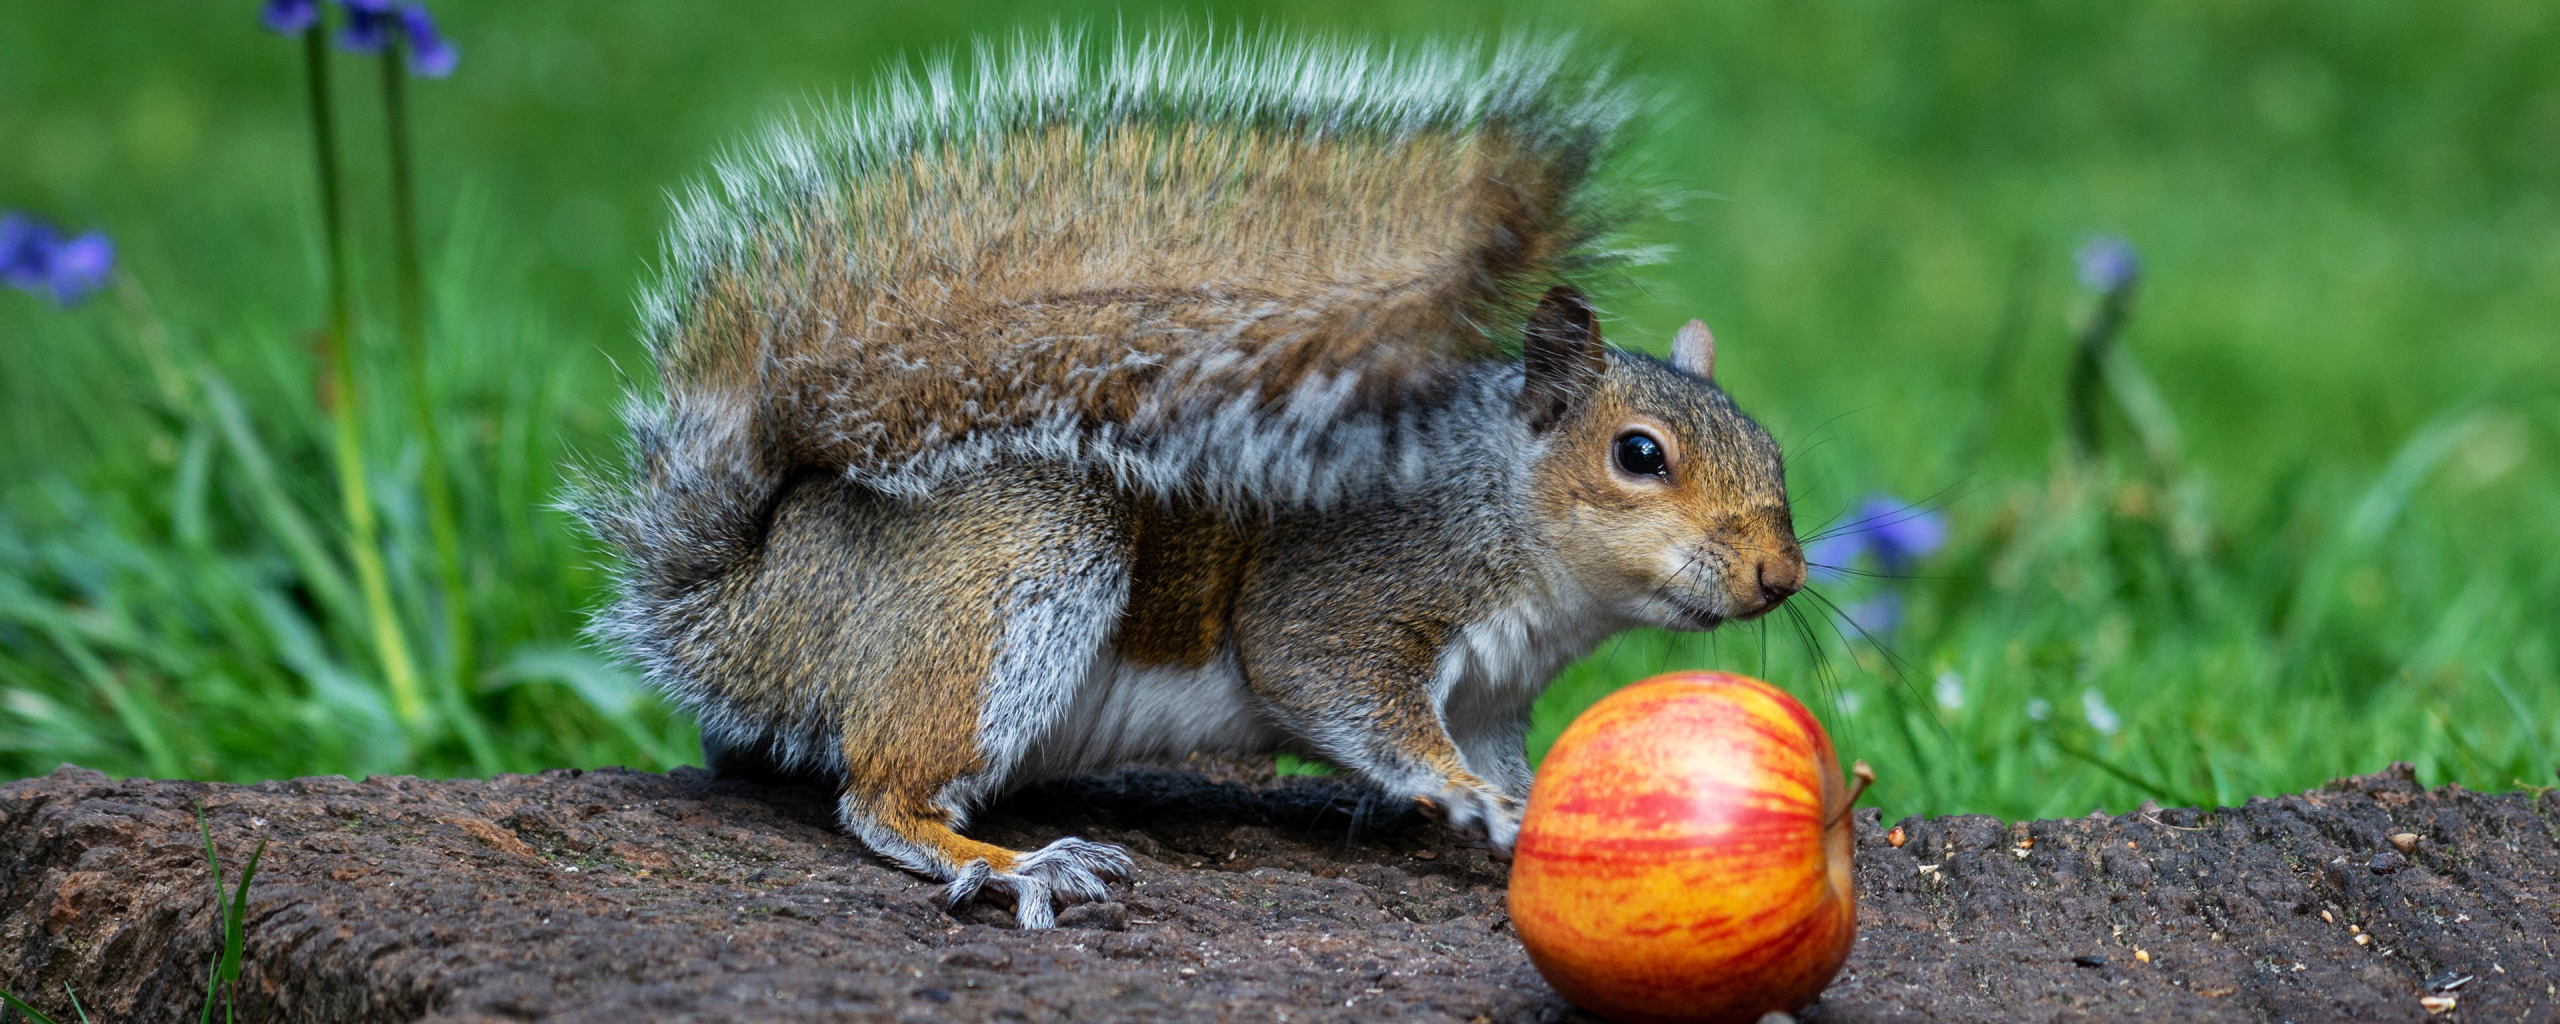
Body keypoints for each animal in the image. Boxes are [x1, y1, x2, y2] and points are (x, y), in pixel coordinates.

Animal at [570, 32, 1812, 926]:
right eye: (1638, 454)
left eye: (1774, 450)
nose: (1781, 575)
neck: (1518, 533)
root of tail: (751, 598)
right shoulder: (1356, 585)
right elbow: (1325, 677)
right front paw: (1452, 792)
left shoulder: (1498, 698)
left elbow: (1512, 759)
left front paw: (1521, 808)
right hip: (1015, 569)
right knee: (881, 794)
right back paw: (1015, 862)